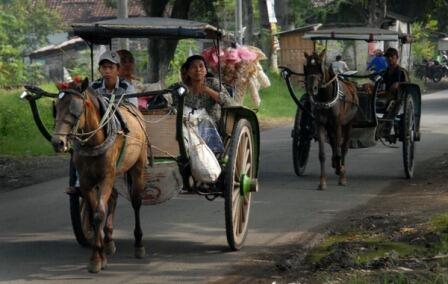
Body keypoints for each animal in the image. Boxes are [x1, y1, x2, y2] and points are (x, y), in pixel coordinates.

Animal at [51, 78, 147, 272]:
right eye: (55, 108)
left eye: (75, 109)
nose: (58, 142)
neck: (95, 141)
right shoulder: (87, 181)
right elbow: (95, 212)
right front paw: (100, 253)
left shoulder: (106, 177)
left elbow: (99, 214)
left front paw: (96, 258)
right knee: (113, 199)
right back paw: (109, 241)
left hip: (137, 166)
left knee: (136, 202)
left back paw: (139, 244)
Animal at [302, 50, 358, 190]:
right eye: (308, 68)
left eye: (320, 67)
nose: (312, 88)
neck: (325, 97)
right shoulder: (320, 124)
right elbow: (322, 154)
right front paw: (322, 181)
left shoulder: (338, 124)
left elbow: (339, 149)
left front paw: (342, 175)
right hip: (329, 126)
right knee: (334, 143)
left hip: (348, 123)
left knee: (343, 147)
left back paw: (341, 169)